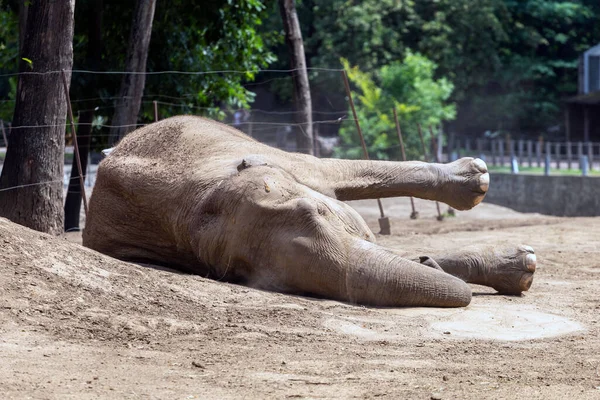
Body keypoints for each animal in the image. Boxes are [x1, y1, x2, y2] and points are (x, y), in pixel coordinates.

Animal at [82, 114, 536, 308]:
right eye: (240, 274)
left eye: (317, 211)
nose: (427, 260)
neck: (196, 203)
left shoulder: (285, 164)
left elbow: (327, 170)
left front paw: (476, 178)